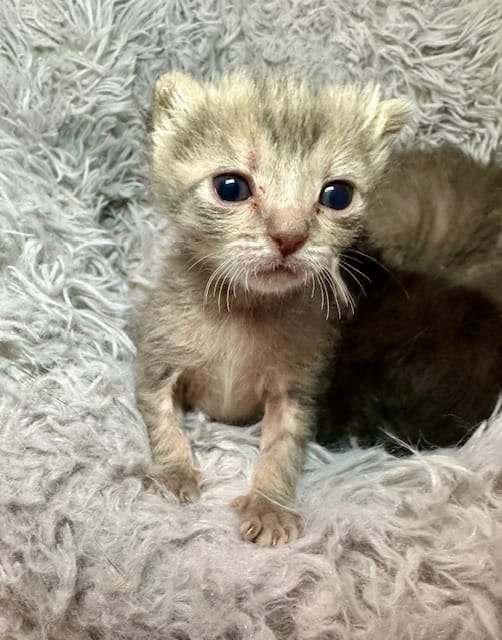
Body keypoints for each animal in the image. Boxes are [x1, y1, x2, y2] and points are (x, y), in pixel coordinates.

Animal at [135, 74, 410, 544]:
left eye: (337, 195)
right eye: (231, 187)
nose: (289, 236)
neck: (244, 309)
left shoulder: (297, 387)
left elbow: (283, 448)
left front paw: (269, 507)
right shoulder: (157, 359)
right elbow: (161, 418)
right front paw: (173, 473)